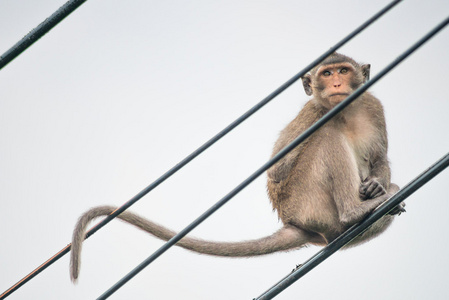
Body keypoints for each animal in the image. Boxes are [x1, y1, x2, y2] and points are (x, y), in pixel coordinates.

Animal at [69, 52, 402, 282]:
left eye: (344, 70)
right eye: (328, 72)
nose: (335, 83)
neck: (344, 111)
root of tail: (296, 224)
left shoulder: (374, 107)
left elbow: (379, 159)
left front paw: (376, 184)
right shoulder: (313, 113)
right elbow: (277, 171)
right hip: (309, 203)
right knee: (327, 138)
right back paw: (353, 212)